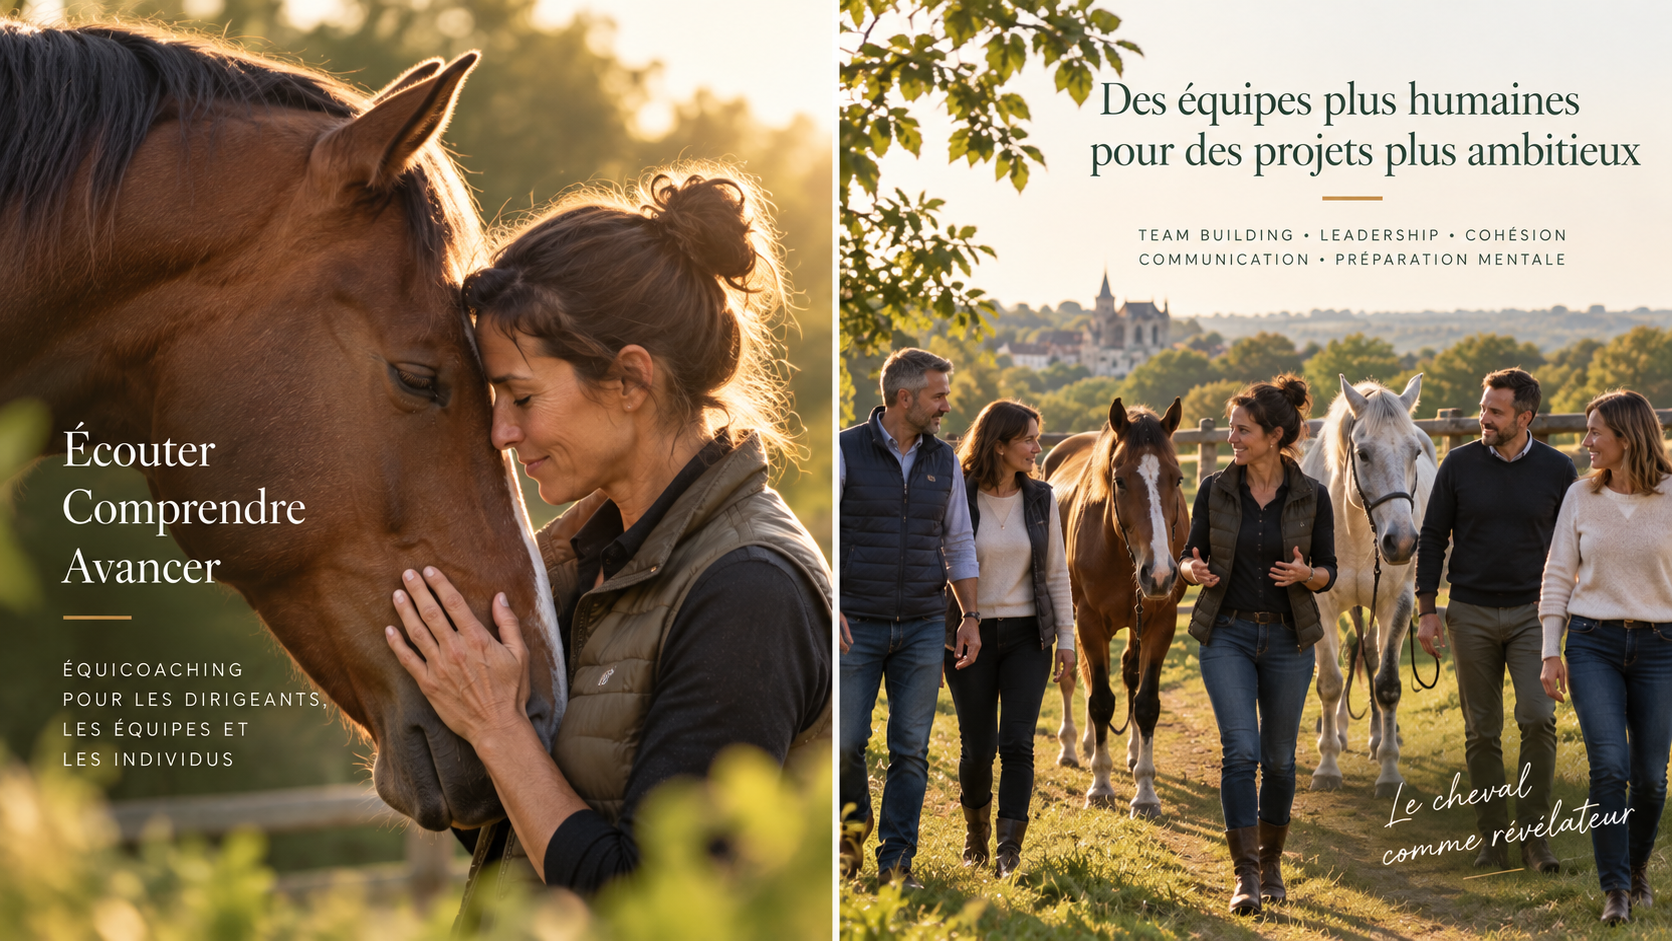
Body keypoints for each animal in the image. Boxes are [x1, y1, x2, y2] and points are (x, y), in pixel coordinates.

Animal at [1044, 397, 1188, 817]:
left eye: (1177, 479)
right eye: (1120, 480)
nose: (1160, 573)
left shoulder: (1160, 623)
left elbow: (1146, 703)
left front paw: (1146, 792)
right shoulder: (1090, 622)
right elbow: (1100, 701)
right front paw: (1101, 786)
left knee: (1128, 677)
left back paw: (1131, 752)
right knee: (1077, 680)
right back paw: (1075, 747)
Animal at [1301, 375, 1436, 798]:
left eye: (1415, 452)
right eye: (1362, 453)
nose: (1403, 542)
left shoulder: (1398, 603)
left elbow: (1387, 684)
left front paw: (1389, 772)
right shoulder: (1322, 606)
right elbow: (1329, 683)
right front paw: (1327, 767)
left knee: (1372, 657)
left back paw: (1378, 738)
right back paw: (1340, 734)